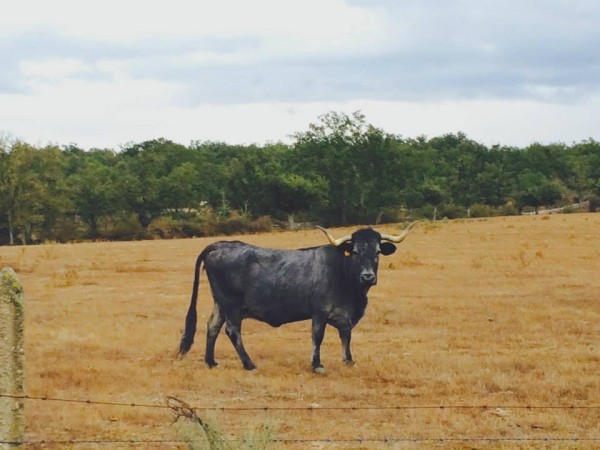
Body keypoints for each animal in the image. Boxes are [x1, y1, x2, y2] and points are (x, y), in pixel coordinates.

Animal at [176, 222, 414, 372]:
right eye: (355, 251)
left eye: (377, 252)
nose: (368, 276)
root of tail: (221, 244)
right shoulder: (319, 312)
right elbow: (318, 337)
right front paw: (317, 364)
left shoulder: (345, 316)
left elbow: (346, 336)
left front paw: (348, 360)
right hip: (231, 305)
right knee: (232, 331)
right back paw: (249, 364)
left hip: (220, 303)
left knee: (213, 326)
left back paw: (211, 361)